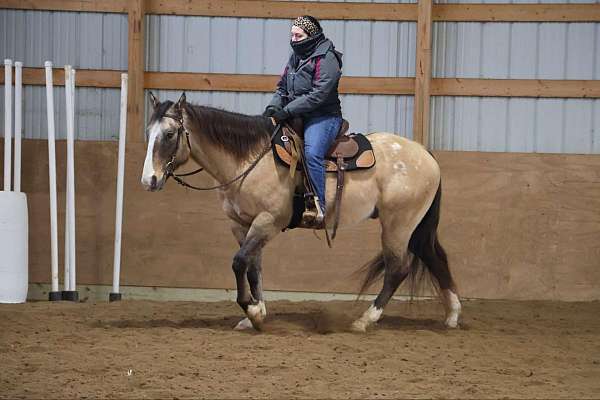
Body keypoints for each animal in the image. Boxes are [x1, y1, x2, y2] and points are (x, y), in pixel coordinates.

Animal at [139, 93, 460, 332]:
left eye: (170, 134)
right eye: (148, 134)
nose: (149, 180)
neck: (249, 159)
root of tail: (425, 153)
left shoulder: (268, 221)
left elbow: (239, 261)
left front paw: (253, 311)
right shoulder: (241, 224)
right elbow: (253, 266)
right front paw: (256, 313)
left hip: (398, 225)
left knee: (398, 269)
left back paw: (364, 320)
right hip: (413, 227)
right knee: (434, 257)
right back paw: (452, 315)